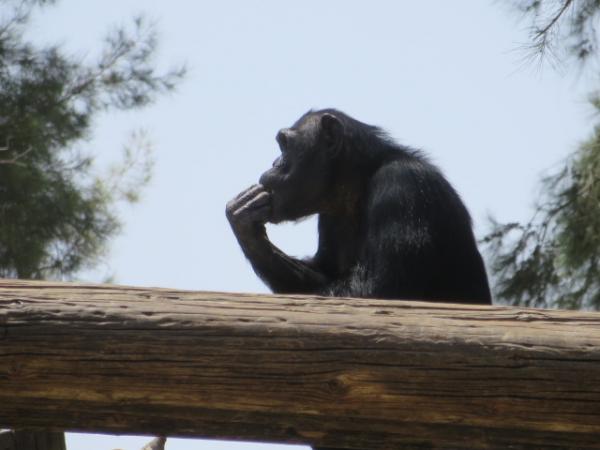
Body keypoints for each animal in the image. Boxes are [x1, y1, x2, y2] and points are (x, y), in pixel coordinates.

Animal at [225, 109, 492, 306]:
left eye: (285, 145)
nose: (275, 163)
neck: (359, 183)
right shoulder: (329, 218)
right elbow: (321, 272)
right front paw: (244, 221)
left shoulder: (401, 187)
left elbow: (376, 291)